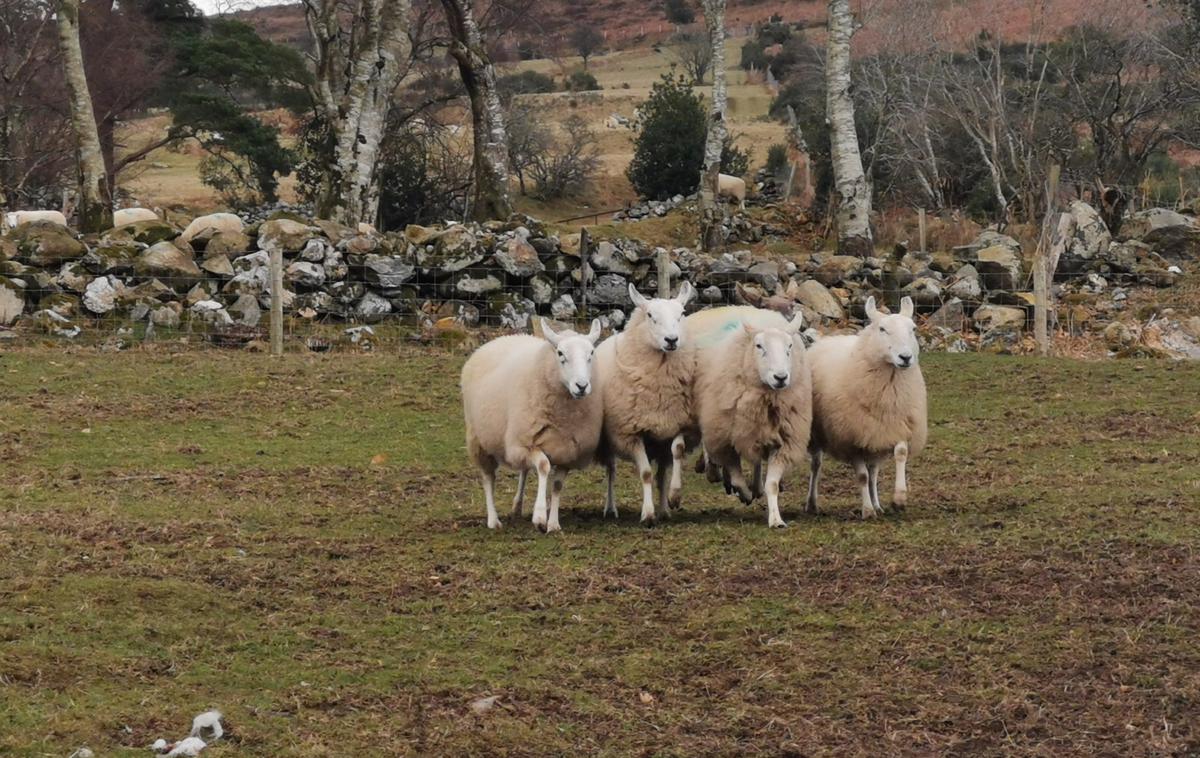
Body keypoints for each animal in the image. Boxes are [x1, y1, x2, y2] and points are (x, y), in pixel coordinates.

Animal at [460, 316, 604, 530]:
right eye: (560, 353)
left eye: (591, 353)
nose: (582, 386)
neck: (564, 417)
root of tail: (501, 339)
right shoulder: (526, 443)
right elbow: (543, 466)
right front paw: (539, 515)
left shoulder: (567, 450)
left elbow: (557, 485)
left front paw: (553, 523)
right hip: (479, 439)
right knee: (488, 478)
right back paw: (493, 520)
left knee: (523, 470)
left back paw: (517, 506)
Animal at [590, 281, 696, 522]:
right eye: (650, 315)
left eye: (682, 314)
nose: (671, 340)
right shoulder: (631, 433)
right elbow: (646, 473)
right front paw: (647, 514)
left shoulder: (675, 424)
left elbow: (678, 451)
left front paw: (674, 496)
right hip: (609, 439)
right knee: (611, 471)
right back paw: (610, 508)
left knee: (662, 475)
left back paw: (664, 509)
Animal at [691, 311, 811, 527]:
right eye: (759, 346)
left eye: (789, 346)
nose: (781, 377)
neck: (767, 399)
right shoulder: (726, 438)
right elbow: (737, 477)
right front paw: (743, 493)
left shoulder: (783, 442)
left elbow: (772, 484)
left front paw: (776, 519)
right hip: (712, 416)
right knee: (710, 448)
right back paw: (715, 472)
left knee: (756, 461)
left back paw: (755, 487)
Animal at [806, 292, 926, 518]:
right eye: (882, 329)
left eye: (913, 329)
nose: (905, 357)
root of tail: (828, 339)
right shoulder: (853, 436)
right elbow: (861, 476)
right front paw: (867, 511)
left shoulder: (895, 424)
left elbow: (900, 454)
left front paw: (899, 499)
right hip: (817, 433)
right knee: (816, 465)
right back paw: (812, 503)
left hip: (874, 435)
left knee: (874, 472)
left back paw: (878, 504)